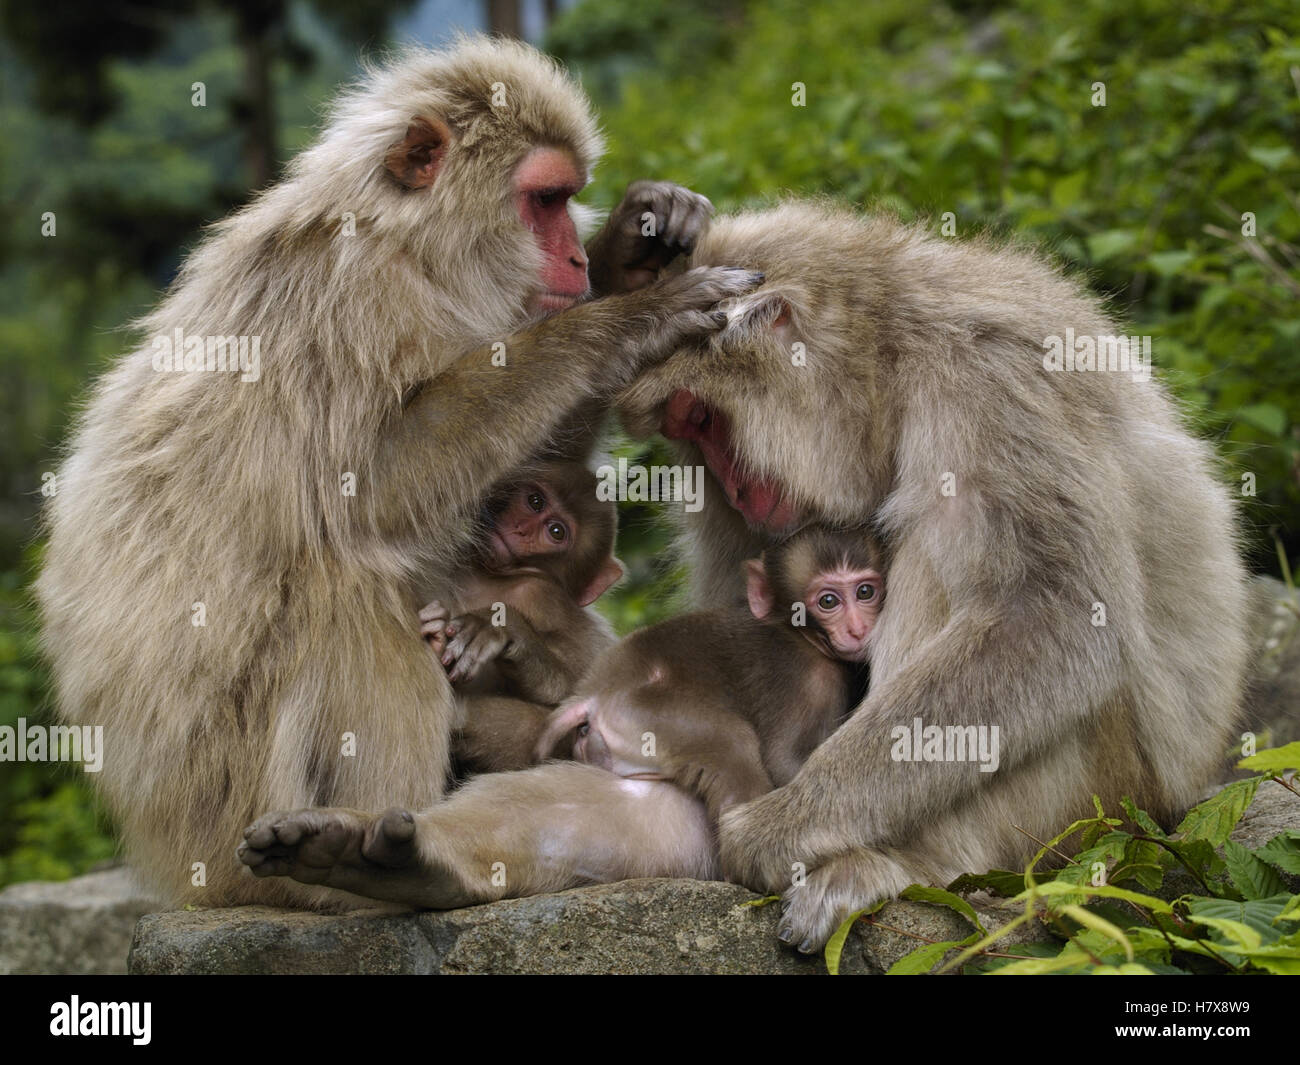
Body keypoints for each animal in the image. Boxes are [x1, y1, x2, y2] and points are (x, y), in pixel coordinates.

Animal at [237, 525, 886, 901]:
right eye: (830, 599)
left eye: (868, 590)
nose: (860, 628)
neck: (801, 634)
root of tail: (594, 699)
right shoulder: (810, 680)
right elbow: (786, 760)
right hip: (668, 721)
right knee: (733, 761)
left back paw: (386, 861)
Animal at [420, 459, 624, 773]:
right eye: (535, 501)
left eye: (556, 532)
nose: (522, 528)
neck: (490, 578)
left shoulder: (544, 598)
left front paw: (498, 630)